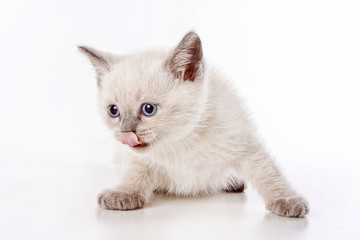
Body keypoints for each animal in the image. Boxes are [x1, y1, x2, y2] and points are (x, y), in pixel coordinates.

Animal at [79, 31, 310, 218]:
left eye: (148, 109)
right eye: (114, 111)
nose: (126, 132)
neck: (179, 141)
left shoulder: (244, 145)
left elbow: (267, 173)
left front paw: (287, 201)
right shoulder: (137, 158)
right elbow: (134, 173)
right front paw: (124, 193)